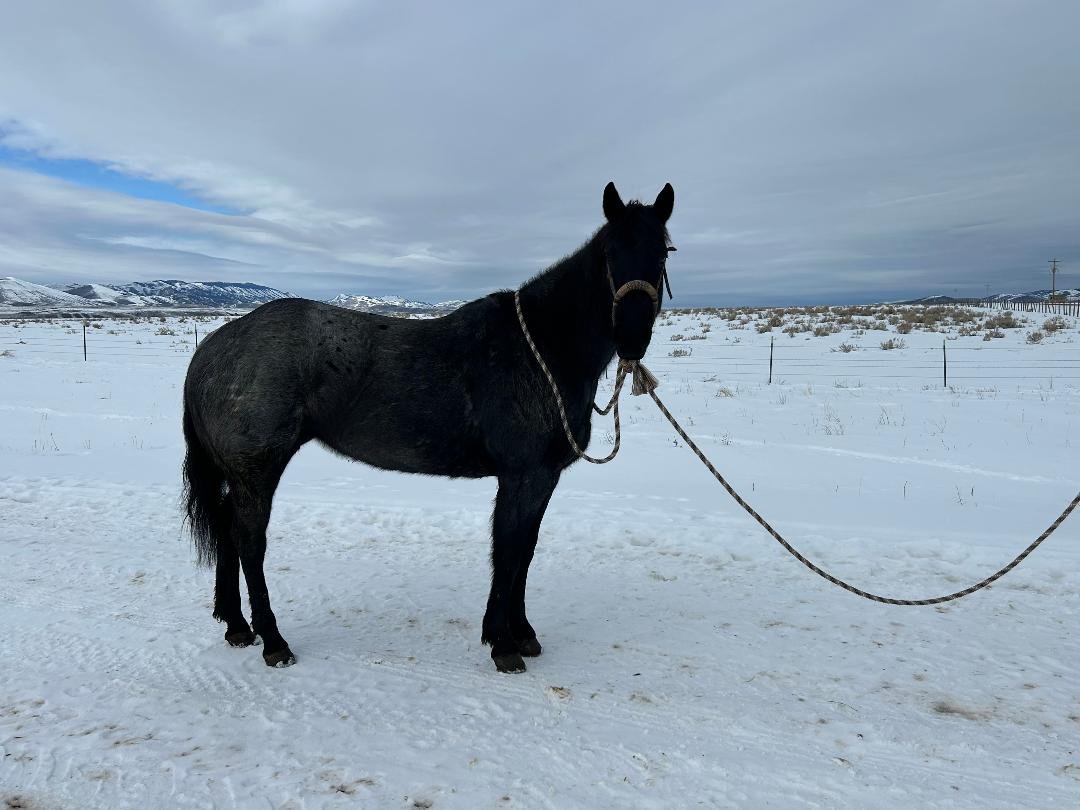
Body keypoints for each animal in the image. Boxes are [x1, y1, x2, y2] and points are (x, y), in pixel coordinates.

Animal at [182, 181, 675, 673]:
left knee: (227, 531)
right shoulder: (523, 475)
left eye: (663, 251)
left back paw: (236, 626)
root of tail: (213, 348)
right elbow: (509, 551)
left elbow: (526, 550)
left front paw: (522, 632)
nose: (632, 337)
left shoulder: (543, 477)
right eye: (609, 252)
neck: (544, 347)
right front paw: (502, 642)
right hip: (258, 471)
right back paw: (273, 641)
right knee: (249, 542)